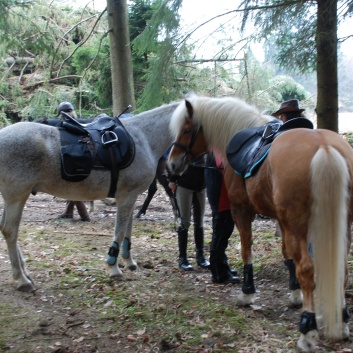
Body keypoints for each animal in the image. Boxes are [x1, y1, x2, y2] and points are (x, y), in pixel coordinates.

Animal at [0, 101, 177, 292]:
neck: (144, 138)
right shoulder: (126, 196)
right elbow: (121, 231)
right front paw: (114, 268)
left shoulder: (131, 196)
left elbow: (128, 229)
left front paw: (128, 261)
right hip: (16, 196)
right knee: (10, 230)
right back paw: (21, 279)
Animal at [168, 94, 352, 352]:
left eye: (186, 129)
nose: (172, 164)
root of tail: (324, 146)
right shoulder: (281, 219)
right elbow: (287, 254)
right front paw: (294, 294)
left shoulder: (241, 211)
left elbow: (247, 251)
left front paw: (247, 293)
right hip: (341, 225)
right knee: (342, 270)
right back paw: (342, 322)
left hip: (300, 226)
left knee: (308, 269)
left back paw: (307, 330)